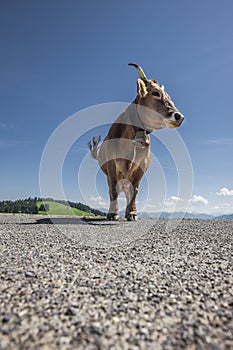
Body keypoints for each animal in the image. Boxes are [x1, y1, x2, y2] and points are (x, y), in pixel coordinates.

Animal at [89, 64, 184, 220]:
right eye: (155, 93)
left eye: (169, 97)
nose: (179, 116)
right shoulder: (111, 165)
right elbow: (113, 190)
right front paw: (113, 213)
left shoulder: (141, 166)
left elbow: (135, 190)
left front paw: (132, 213)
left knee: (128, 191)